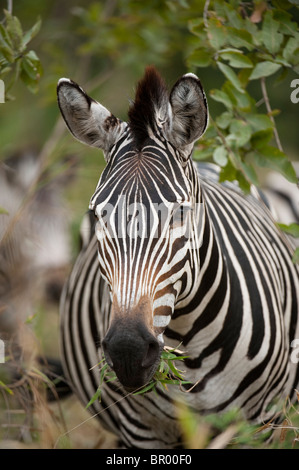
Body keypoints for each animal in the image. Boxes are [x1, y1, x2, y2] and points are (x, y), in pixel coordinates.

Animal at [56, 66, 299, 448]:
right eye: (97, 215)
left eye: (179, 213)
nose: (127, 351)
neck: (190, 342)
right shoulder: (141, 430)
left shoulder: (261, 424)